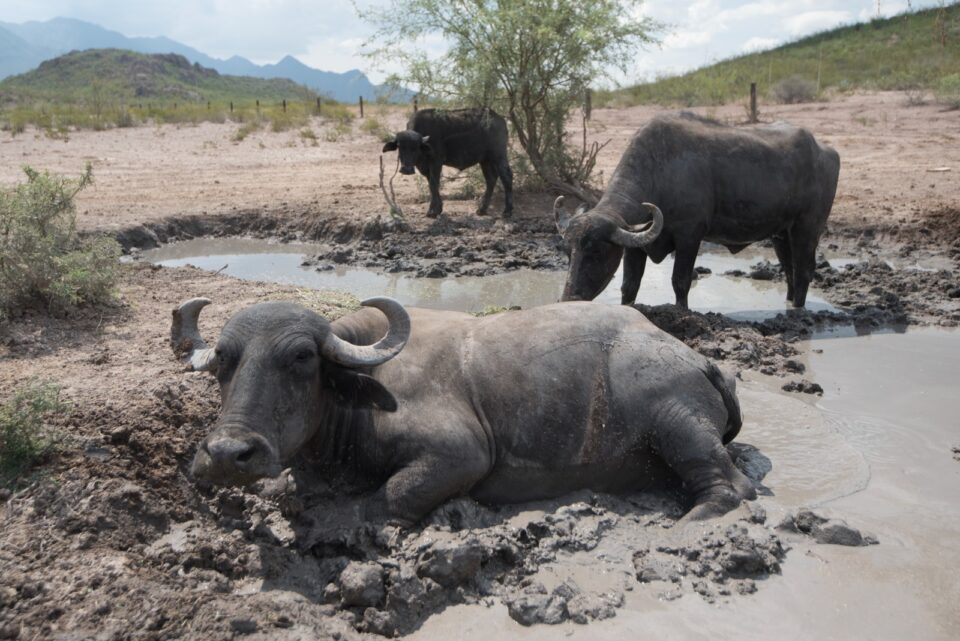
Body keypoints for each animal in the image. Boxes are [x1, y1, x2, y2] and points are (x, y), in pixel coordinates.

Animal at [174, 298, 756, 524]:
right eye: (223, 360)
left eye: (300, 358)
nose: (227, 454)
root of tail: (698, 358)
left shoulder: (460, 455)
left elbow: (391, 496)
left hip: (676, 422)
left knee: (730, 487)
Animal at [382, 107, 512, 218]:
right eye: (400, 146)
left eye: (416, 147)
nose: (407, 169)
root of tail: (499, 119)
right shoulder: (424, 166)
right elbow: (431, 185)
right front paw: (437, 208)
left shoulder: (436, 161)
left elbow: (434, 184)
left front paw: (433, 211)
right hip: (485, 160)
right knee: (491, 179)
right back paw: (482, 209)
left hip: (499, 156)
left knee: (506, 177)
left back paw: (507, 211)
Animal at [556, 112, 840, 310]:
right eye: (568, 252)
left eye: (597, 252)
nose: (570, 298)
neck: (661, 172)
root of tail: (826, 151)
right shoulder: (635, 247)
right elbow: (629, 286)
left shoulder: (689, 237)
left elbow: (680, 281)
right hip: (782, 234)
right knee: (789, 269)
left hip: (807, 228)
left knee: (803, 270)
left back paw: (798, 309)